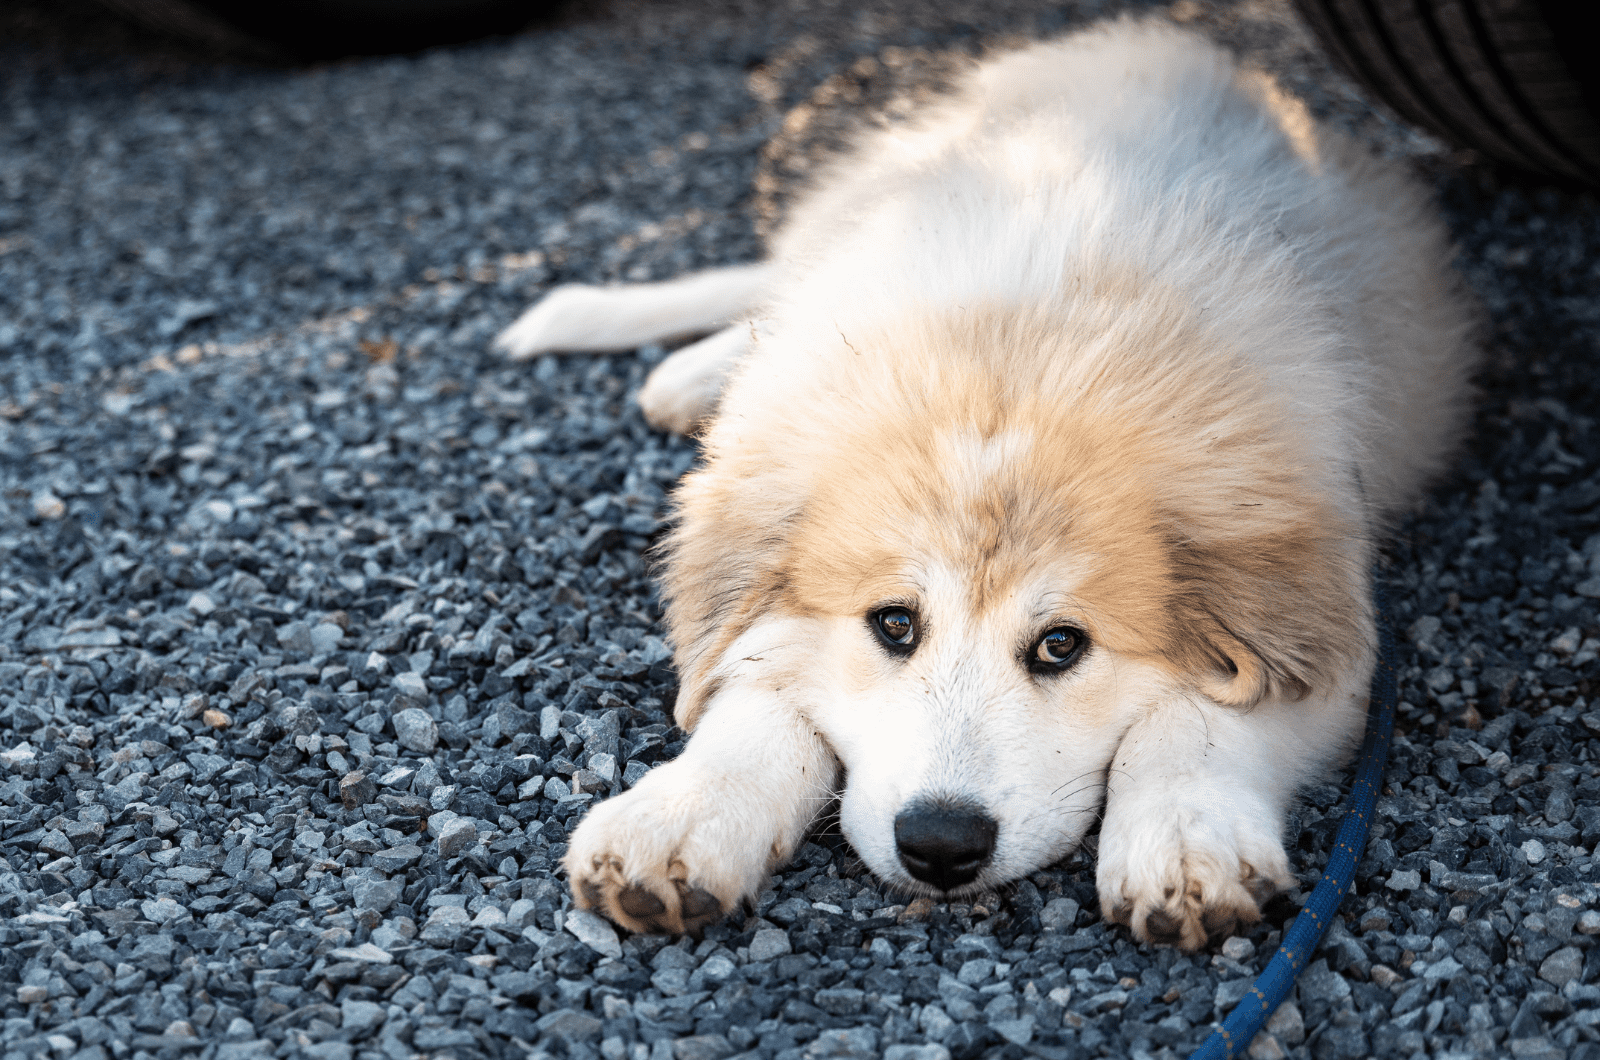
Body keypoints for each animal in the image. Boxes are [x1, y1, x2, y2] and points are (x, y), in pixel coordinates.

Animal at [489, 16, 1472, 947]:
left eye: (1062, 645)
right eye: (894, 624)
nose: (940, 846)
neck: (1011, 348)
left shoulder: (1334, 640)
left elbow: (1198, 715)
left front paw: (1187, 837)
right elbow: (755, 688)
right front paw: (679, 816)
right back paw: (678, 362)